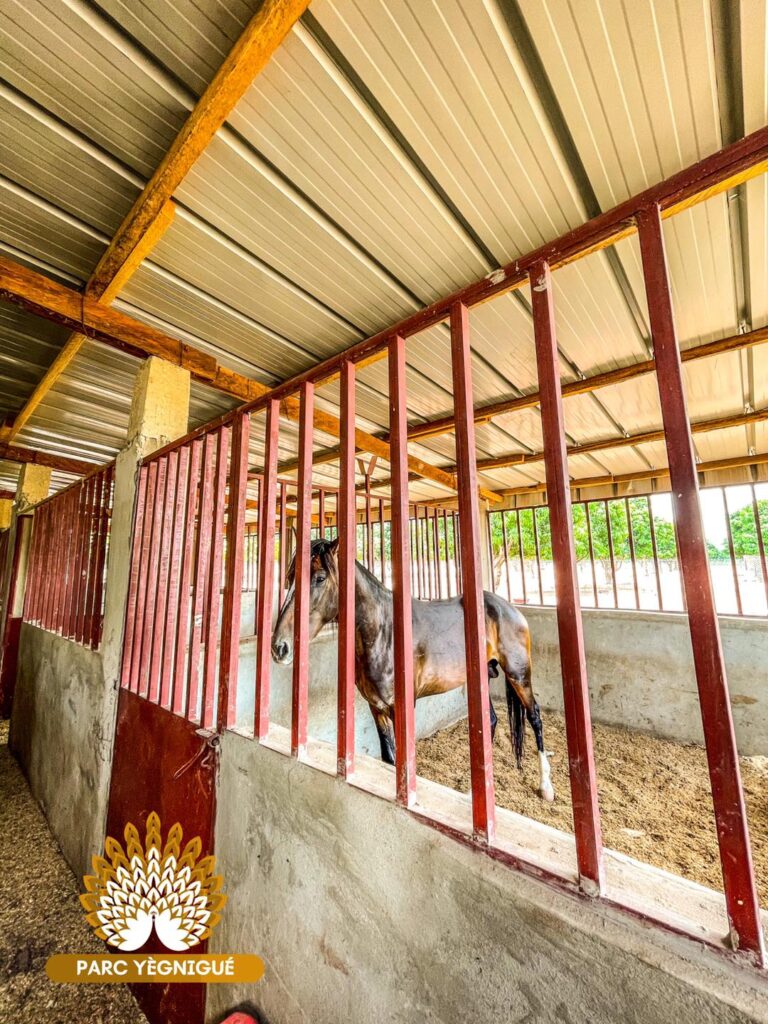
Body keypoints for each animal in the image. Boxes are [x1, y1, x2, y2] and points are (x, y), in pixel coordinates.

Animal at [270, 536, 552, 798]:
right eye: (290, 577)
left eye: (319, 578)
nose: (279, 647)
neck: (385, 632)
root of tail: (509, 608)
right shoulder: (376, 707)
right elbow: (389, 758)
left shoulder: (401, 708)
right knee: (491, 720)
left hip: (519, 675)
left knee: (535, 716)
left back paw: (546, 787)